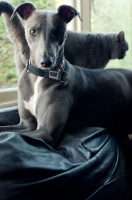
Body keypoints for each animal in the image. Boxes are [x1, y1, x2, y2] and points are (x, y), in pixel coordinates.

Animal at [0, 1, 132, 147]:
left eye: (58, 32)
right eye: (33, 31)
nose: (46, 62)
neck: (39, 77)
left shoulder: (45, 131)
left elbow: (5, 135)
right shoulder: (26, 124)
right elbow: (5, 130)